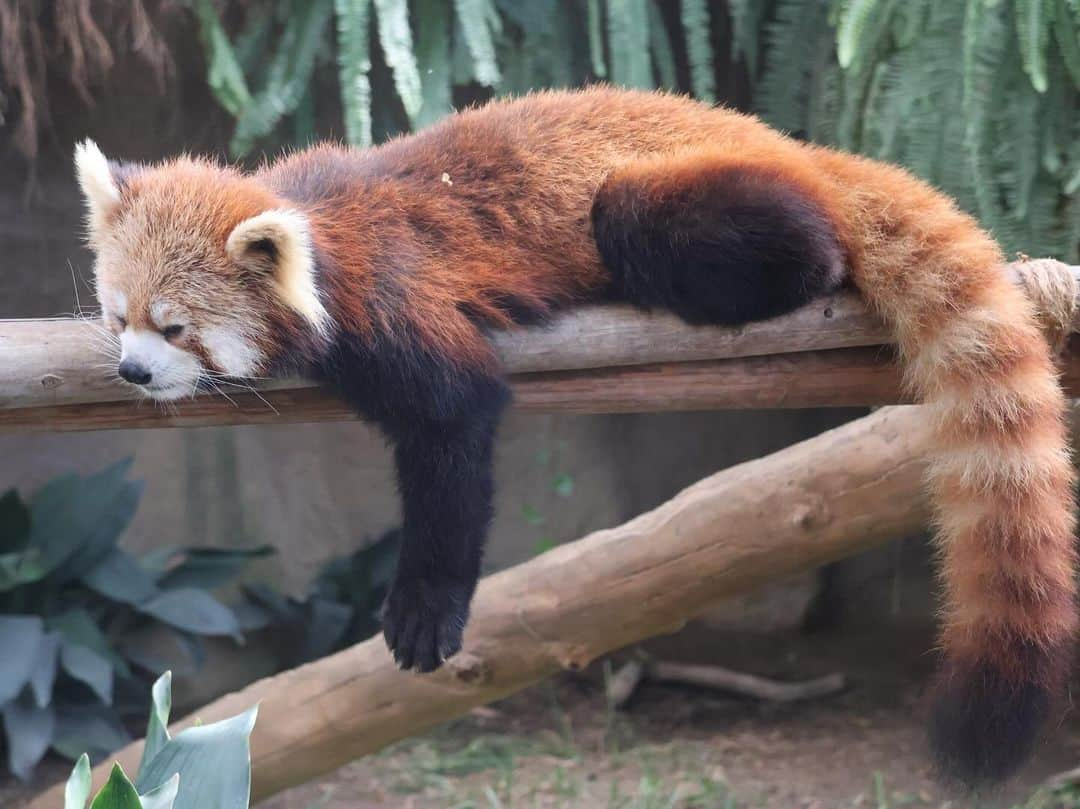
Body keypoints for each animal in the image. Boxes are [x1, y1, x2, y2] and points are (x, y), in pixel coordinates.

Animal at [73, 86, 1071, 781]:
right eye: (120, 316)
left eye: (175, 328)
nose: (132, 372)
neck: (314, 234)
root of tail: (783, 140)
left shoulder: (392, 304)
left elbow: (457, 425)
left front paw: (424, 609)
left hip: (673, 193)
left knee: (686, 222)